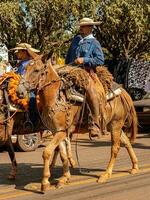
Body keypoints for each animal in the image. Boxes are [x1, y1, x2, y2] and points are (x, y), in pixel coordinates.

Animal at [19, 53, 139, 192]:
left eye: (37, 70)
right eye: (26, 68)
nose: (19, 91)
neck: (55, 98)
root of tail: (123, 92)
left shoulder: (61, 131)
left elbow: (47, 152)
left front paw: (45, 182)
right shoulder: (57, 131)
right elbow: (63, 155)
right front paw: (64, 178)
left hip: (115, 125)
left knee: (115, 148)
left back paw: (106, 174)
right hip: (113, 125)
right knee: (126, 142)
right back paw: (135, 166)